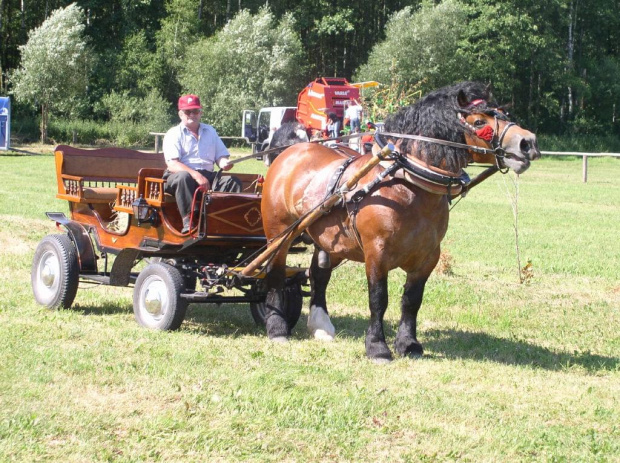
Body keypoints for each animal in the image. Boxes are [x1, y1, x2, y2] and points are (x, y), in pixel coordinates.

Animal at [256, 81, 536, 360]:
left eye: (503, 112)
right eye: (478, 121)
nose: (528, 142)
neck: (406, 183)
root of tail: (291, 151)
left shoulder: (428, 257)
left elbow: (412, 300)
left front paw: (409, 344)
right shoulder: (377, 252)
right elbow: (379, 299)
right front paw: (377, 347)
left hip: (331, 241)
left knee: (318, 275)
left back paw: (321, 326)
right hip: (279, 235)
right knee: (275, 274)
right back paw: (277, 327)